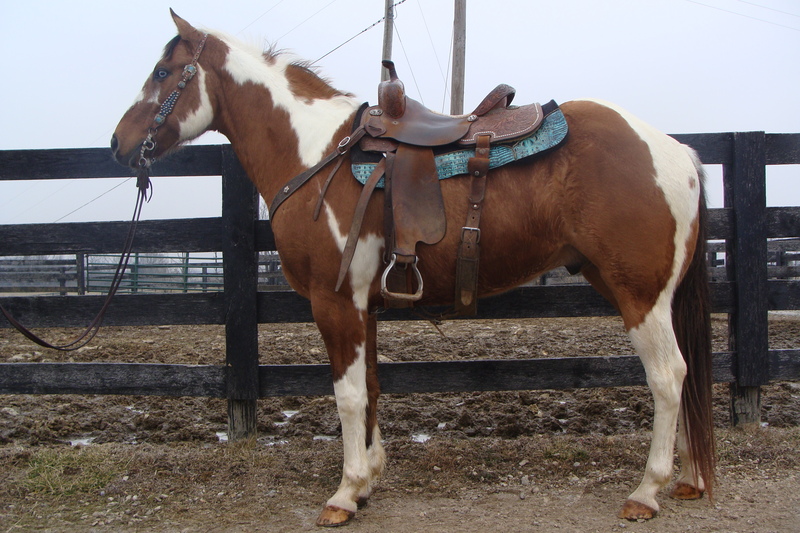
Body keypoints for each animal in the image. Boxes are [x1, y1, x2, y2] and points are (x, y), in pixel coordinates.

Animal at [111, 11, 715, 527]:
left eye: (163, 72)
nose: (118, 144)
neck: (315, 154)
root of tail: (678, 154)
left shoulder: (335, 303)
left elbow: (348, 394)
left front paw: (344, 493)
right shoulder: (363, 306)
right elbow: (372, 386)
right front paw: (368, 481)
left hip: (641, 296)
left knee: (668, 377)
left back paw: (647, 491)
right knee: (683, 380)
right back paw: (688, 478)